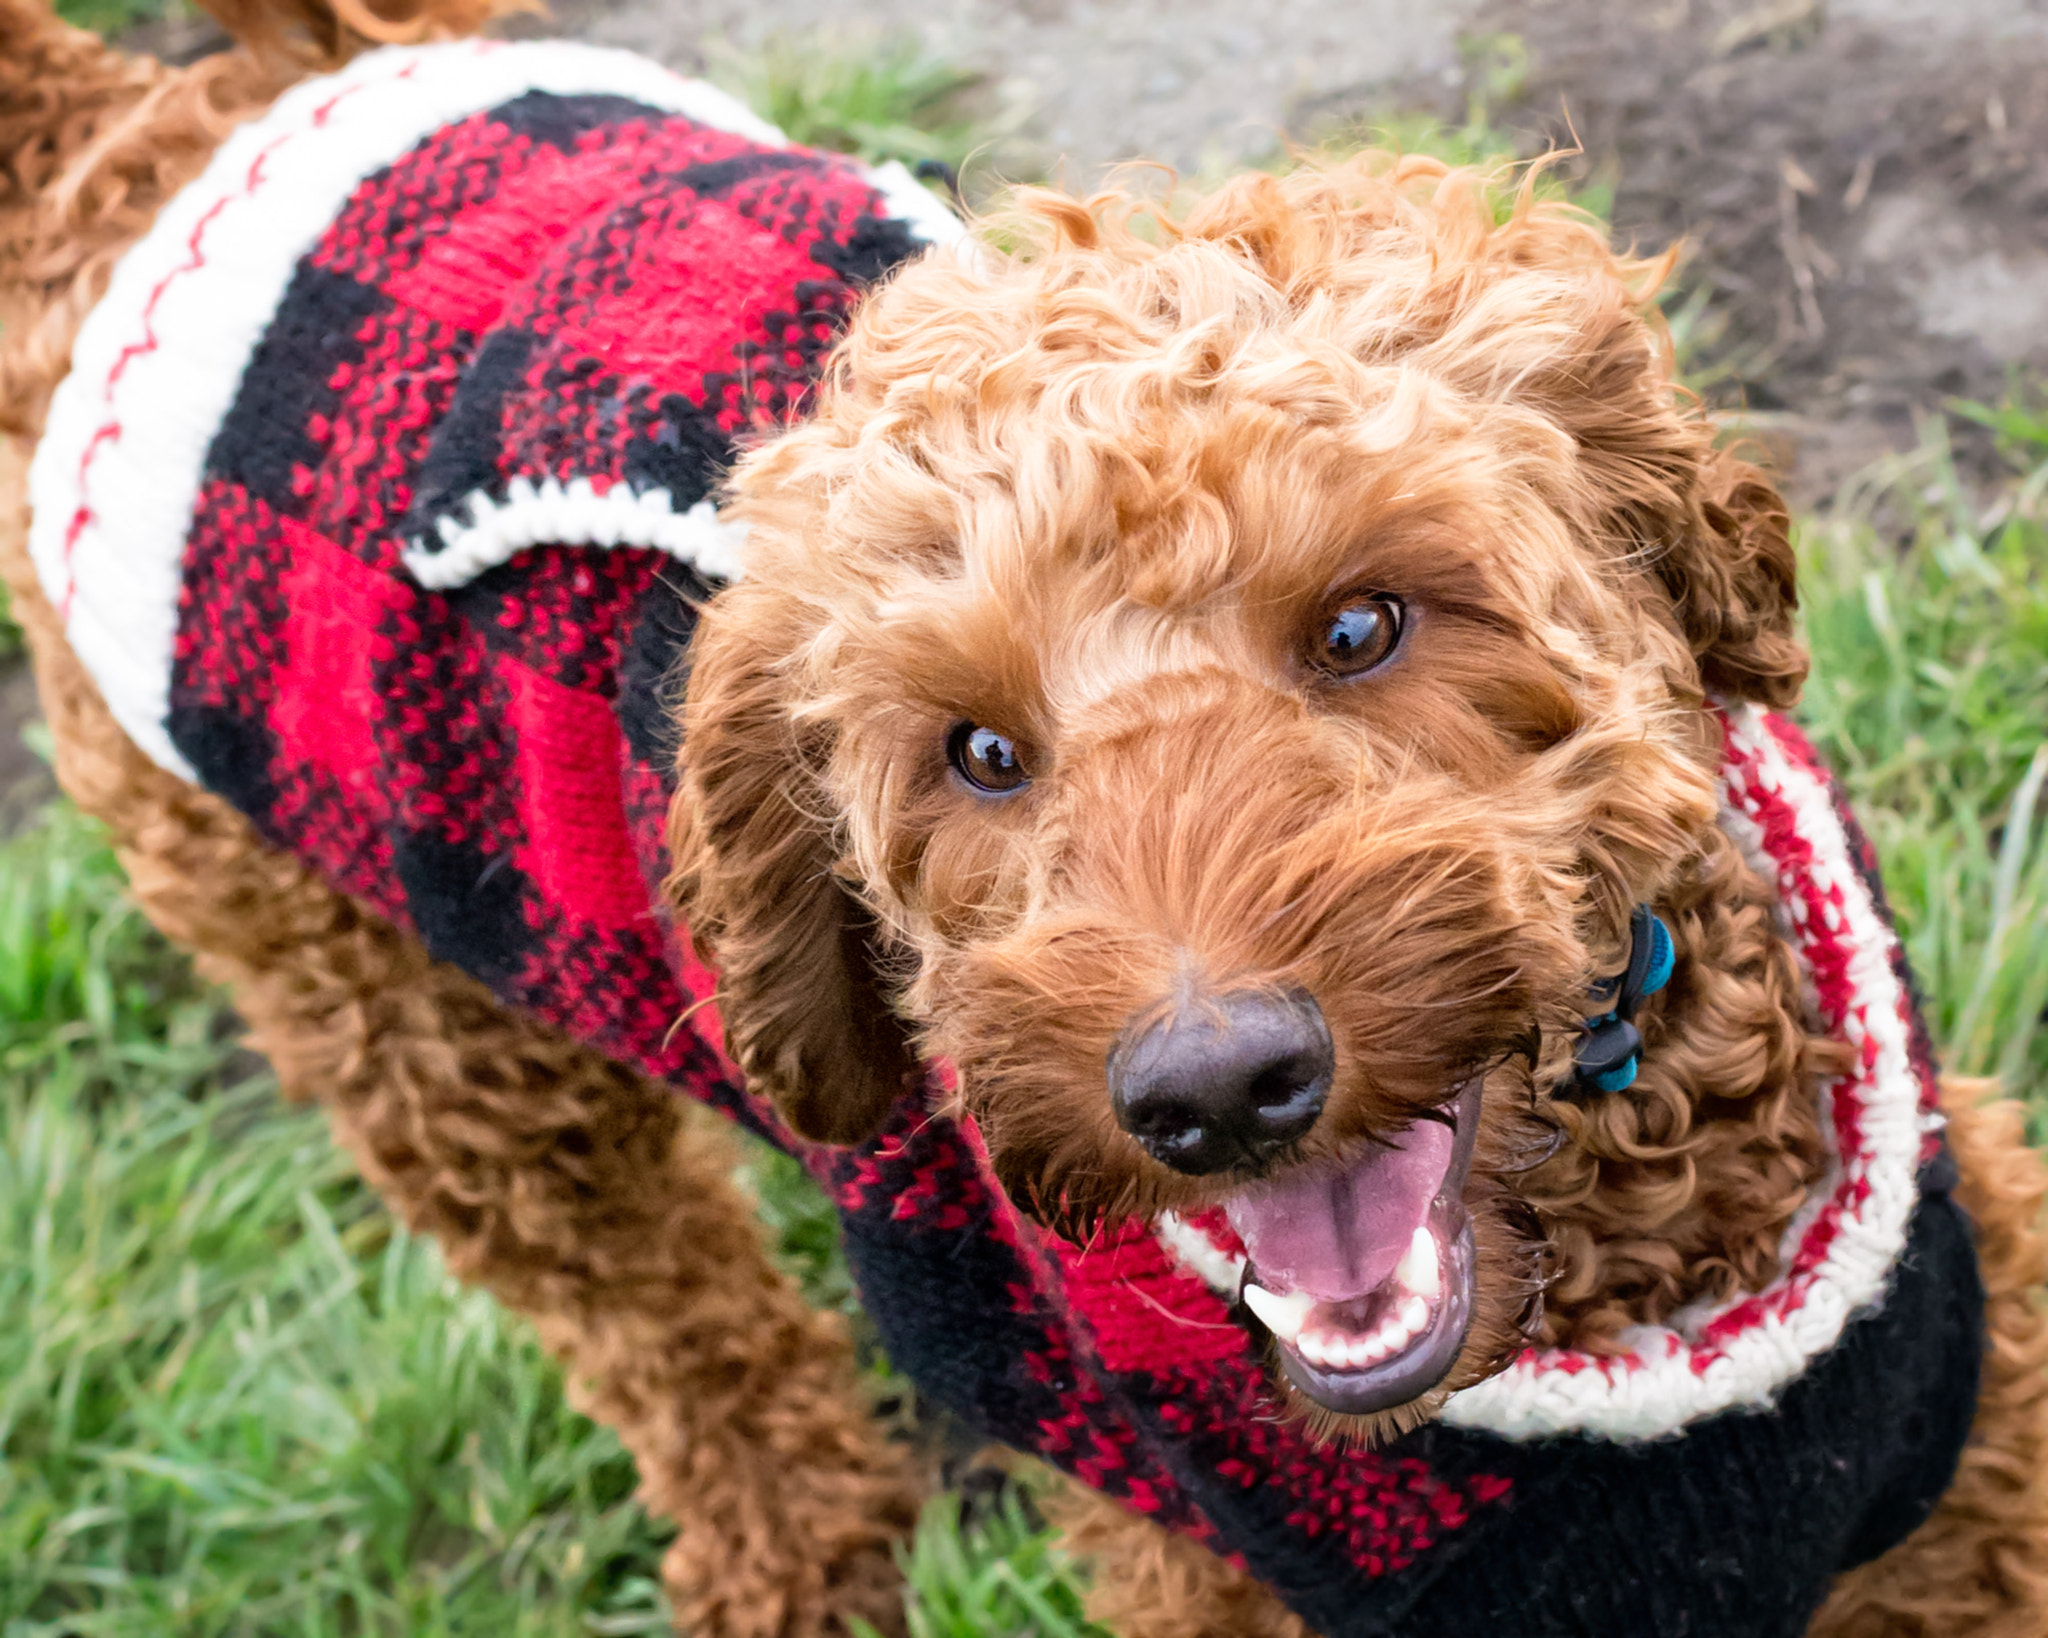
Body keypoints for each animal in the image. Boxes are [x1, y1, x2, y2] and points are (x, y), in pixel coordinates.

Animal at [12, 0, 2048, 1629]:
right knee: (655, 1322)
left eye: (1364, 622)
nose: (1216, 1090)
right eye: (977, 751)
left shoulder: (1969, 1466)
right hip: (403, 1028)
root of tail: (150, 139)